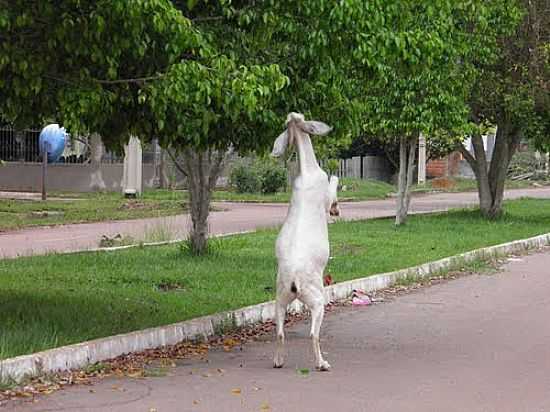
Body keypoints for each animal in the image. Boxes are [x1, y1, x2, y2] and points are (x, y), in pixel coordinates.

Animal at [272, 112, 340, 370]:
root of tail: (294, 282)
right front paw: (335, 208)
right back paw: (322, 363)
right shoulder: (325, 192)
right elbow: (333, 183)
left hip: (279, 300)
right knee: (313, 333)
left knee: (280, 333)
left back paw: (278, 361)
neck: (307, 171)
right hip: (317, 300)